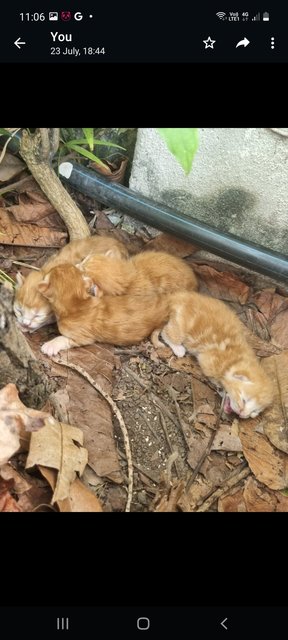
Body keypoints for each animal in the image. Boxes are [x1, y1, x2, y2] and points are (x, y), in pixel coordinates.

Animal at [152, 292, 274, 420]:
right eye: (244, 400)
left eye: (254, 412)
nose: (242, 414)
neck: (235, 360)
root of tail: (178, 296)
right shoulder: (208, 361)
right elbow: (216, 379)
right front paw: (221, 388)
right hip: (181, 324)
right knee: (166, 332)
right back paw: (178, 348)